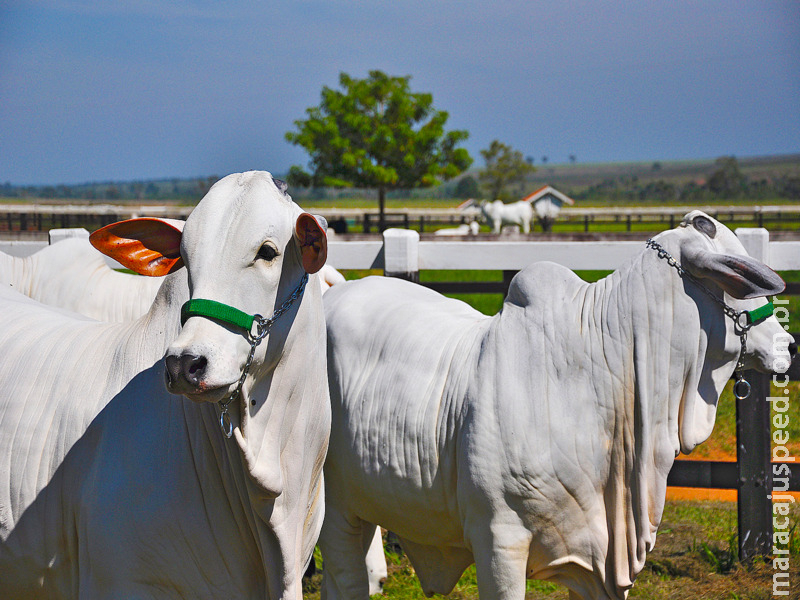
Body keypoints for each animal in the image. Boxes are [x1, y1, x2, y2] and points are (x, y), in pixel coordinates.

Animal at [318, 212, 792, 600]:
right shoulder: (498, 540)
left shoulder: (600, 561)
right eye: (740, 281)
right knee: (345, 581)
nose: (788, 344)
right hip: (333, 508)